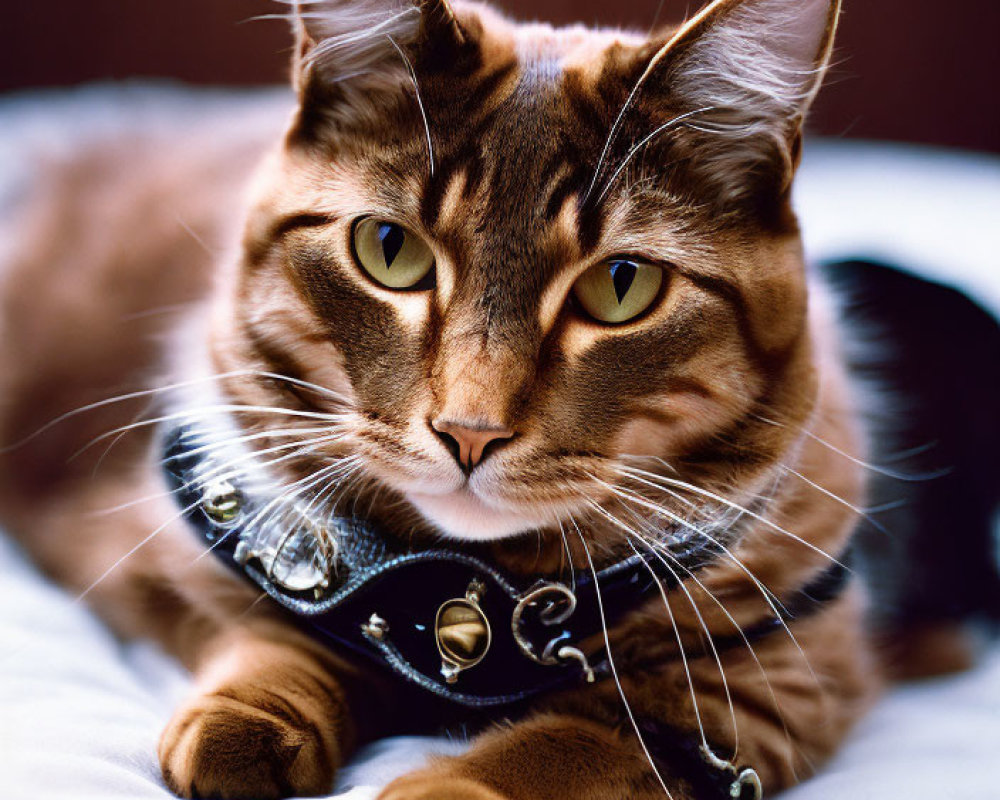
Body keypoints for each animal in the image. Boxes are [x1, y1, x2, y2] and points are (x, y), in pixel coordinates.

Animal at [0, 0, 928, 796]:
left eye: (622, 287)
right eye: (389, 249)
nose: (469, 431)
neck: (473, 598)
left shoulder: (768, 694)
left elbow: (575, 742)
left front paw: (442, 785)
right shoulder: (164, 552)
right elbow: (272, 628)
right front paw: (246, 724)